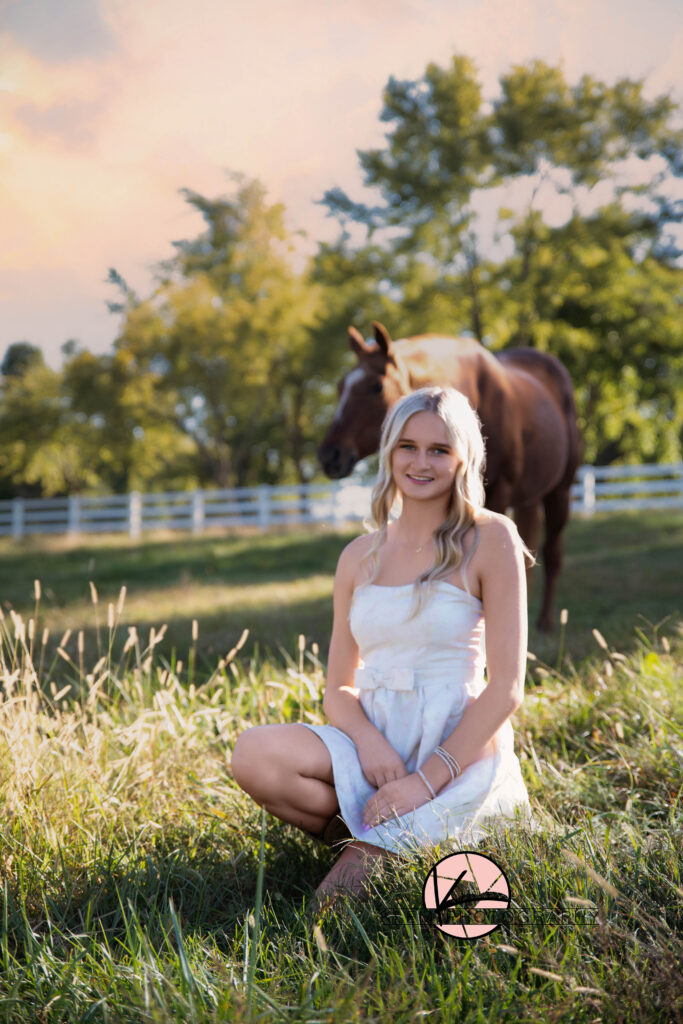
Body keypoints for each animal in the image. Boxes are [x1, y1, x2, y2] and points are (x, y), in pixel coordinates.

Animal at [317, 319, 581, 626]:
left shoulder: (498, 492)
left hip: (559, 491)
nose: (329, 455)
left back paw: (546, 623)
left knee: (552, 555)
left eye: (376, 387)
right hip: (529, 498)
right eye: (339, 387)